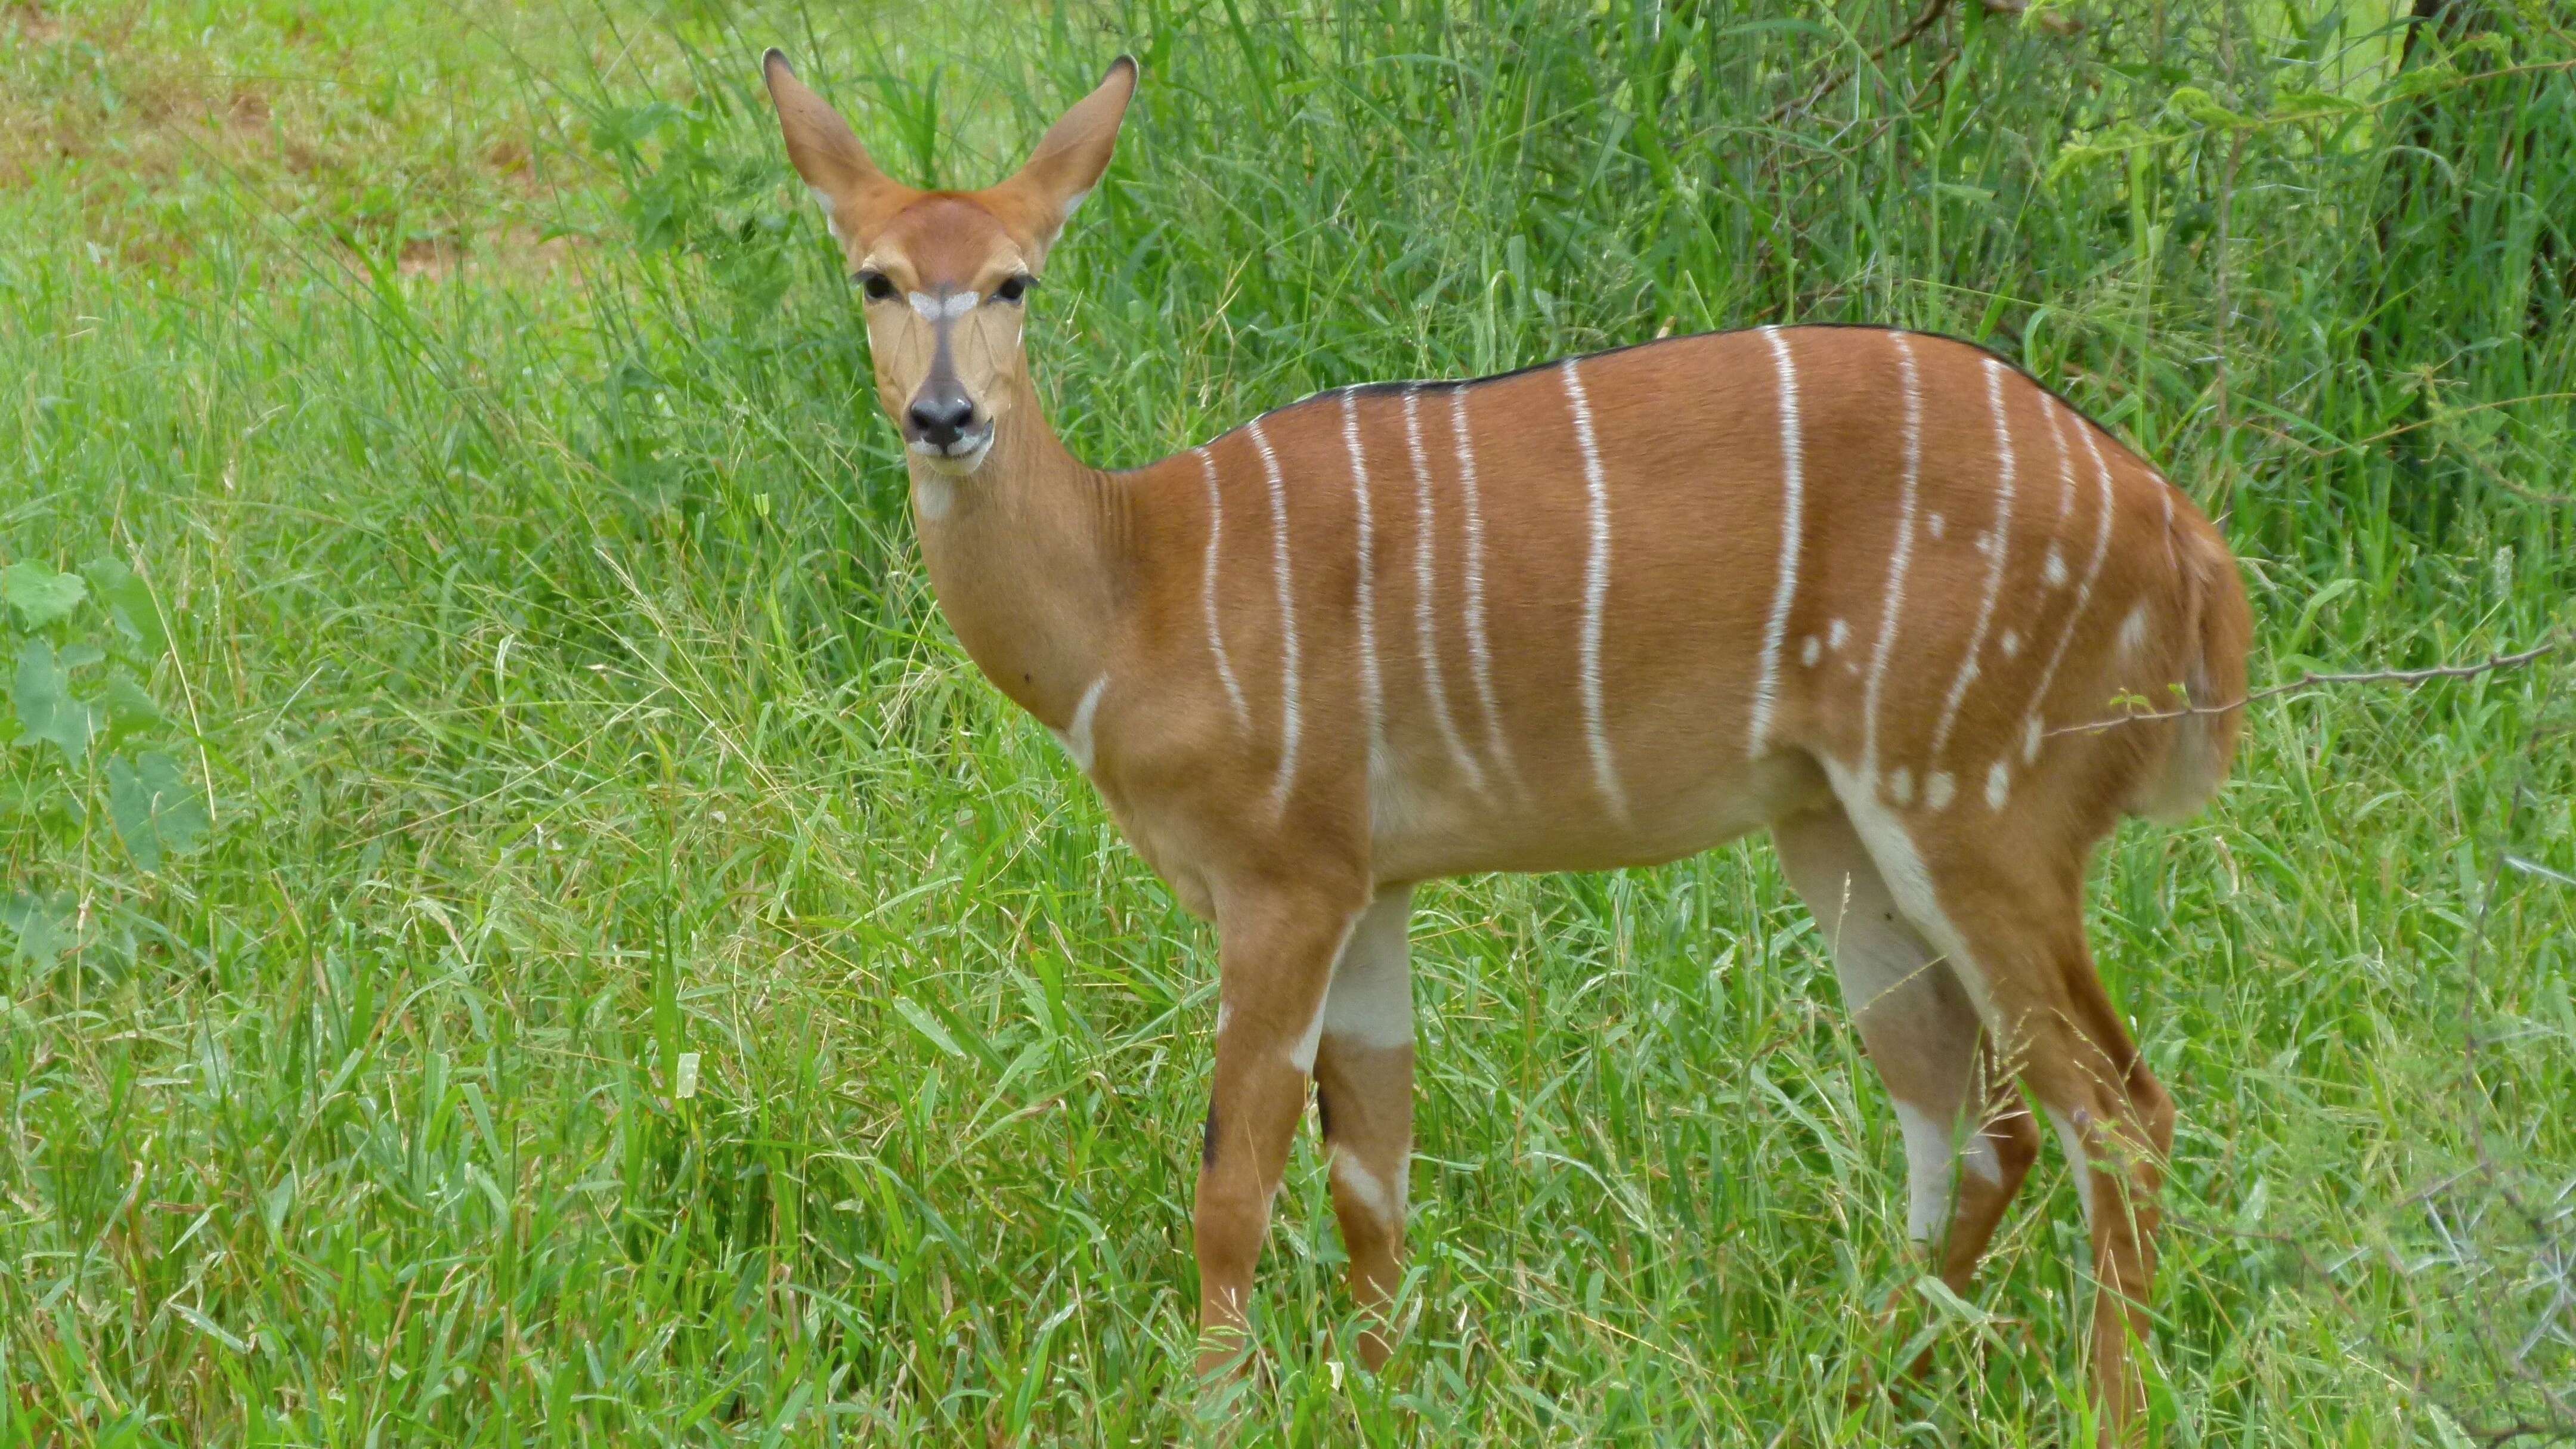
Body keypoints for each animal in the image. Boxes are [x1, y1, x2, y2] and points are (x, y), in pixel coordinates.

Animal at [767, 53, 2256, 1433]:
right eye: (874, 279)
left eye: (1014, 282)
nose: (945, 418)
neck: (1139, 587)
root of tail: (2184, 540)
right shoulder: (1371, 889)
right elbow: (1373, 1177)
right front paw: (1375, 1392)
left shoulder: (1283, 877)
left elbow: (1233, 1179)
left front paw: (1218, 1406)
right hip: (1839, 828)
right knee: (1974, 1111)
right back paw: (1858, 1381)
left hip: (1979, 800)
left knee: (2115, 1110)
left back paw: (2100, 1409)